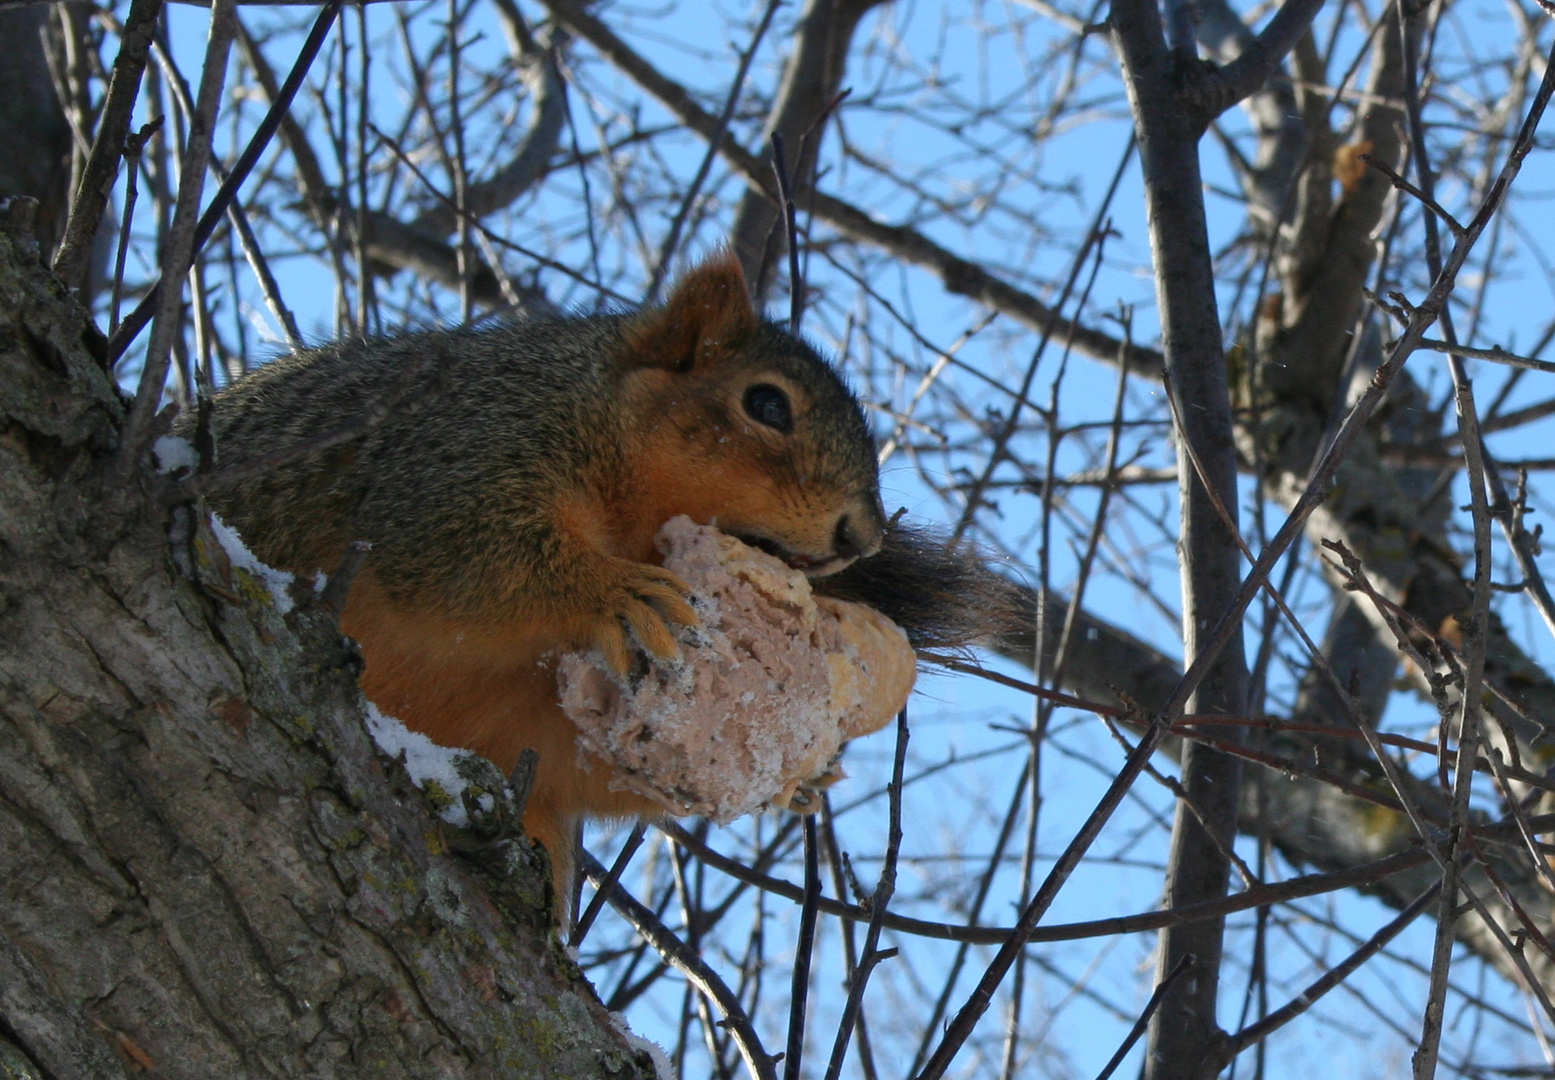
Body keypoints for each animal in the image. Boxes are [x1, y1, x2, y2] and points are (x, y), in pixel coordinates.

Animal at [191, 253, 1020, 901]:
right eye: (764, 403)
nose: (861, 537)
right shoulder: (463, 449)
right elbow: (464, 551)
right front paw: (615, 590)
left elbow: (587, 758)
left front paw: (809, 777)